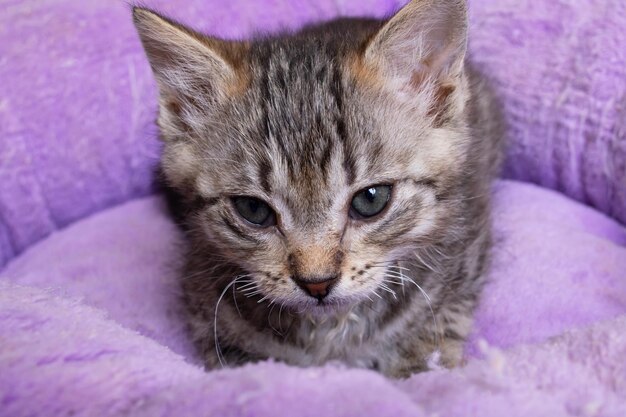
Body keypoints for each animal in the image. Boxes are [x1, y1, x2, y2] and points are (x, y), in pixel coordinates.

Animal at [133, 0, 502, 376]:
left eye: (371, 199)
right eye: (253, 210)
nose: (317, 282)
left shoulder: (464, 258)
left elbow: (432, 340)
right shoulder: (204, 302)